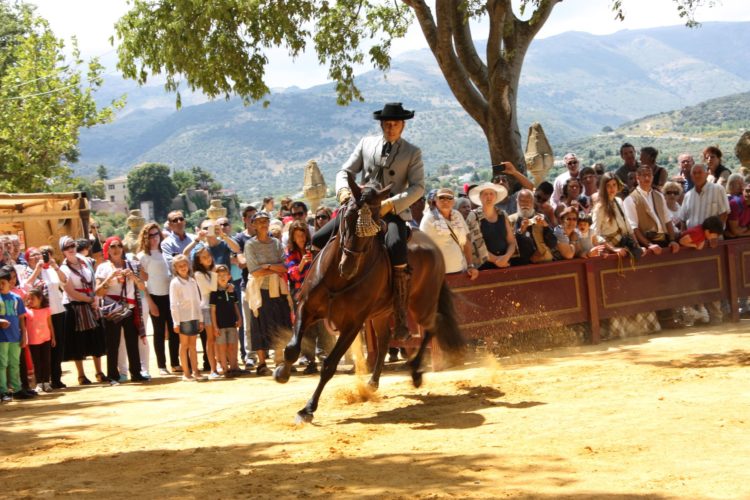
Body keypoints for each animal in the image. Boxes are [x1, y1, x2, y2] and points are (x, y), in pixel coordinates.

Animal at [274, 173, 468, 422]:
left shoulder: (352, 324)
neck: (338, 280)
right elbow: (292, 347)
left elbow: (329, 365)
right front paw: (281, 373)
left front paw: (307, 409)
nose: (348, 266)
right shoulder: (305, 308)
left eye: (375, 221)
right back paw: (373, 382)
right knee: (385, 340)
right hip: (381, 313)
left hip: (421, 303)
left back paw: (415, 371)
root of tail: (433, 245)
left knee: (432, 326)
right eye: (347, 216)